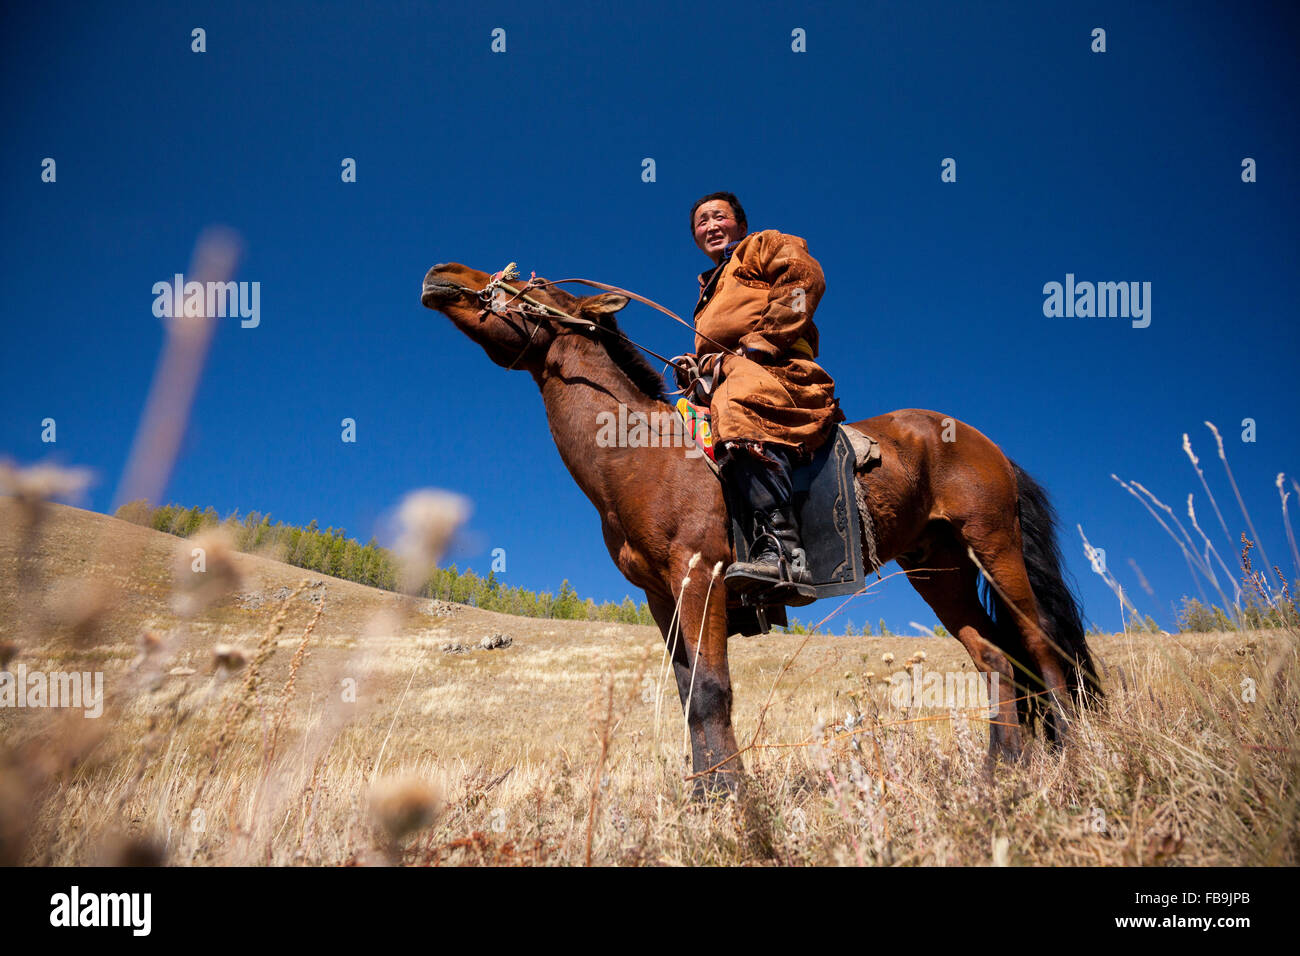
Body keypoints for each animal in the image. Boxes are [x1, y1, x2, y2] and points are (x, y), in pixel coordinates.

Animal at [421, 260, 1102, 790]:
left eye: (532, 283)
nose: (442, 273)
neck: (644, 453)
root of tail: (986, 444)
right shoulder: (660, 596)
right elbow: (689, 695)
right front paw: (705, 797)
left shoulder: (701, 578)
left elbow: (712, 692)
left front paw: (732, 801)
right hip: (938, 566)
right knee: (995, 658)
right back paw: (1001, 772)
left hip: (993, 544)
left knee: (1042, 644)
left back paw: (1071, 756)